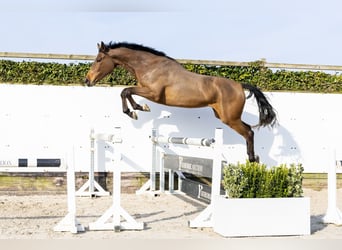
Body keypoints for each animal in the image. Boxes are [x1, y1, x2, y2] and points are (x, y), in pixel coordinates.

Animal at [85, 41, 278, 162]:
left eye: (99, 60)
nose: (87, 81)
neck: (149, 66)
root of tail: (239, 85)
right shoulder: (145, 90)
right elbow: (127, 92)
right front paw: (138, 109)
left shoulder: (153, 93)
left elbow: (125, 91)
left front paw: (136, 110)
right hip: (224, 115)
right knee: (248, 129)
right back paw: (252, 158)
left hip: (230, 118)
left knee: (249, 132)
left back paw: (252, 159)